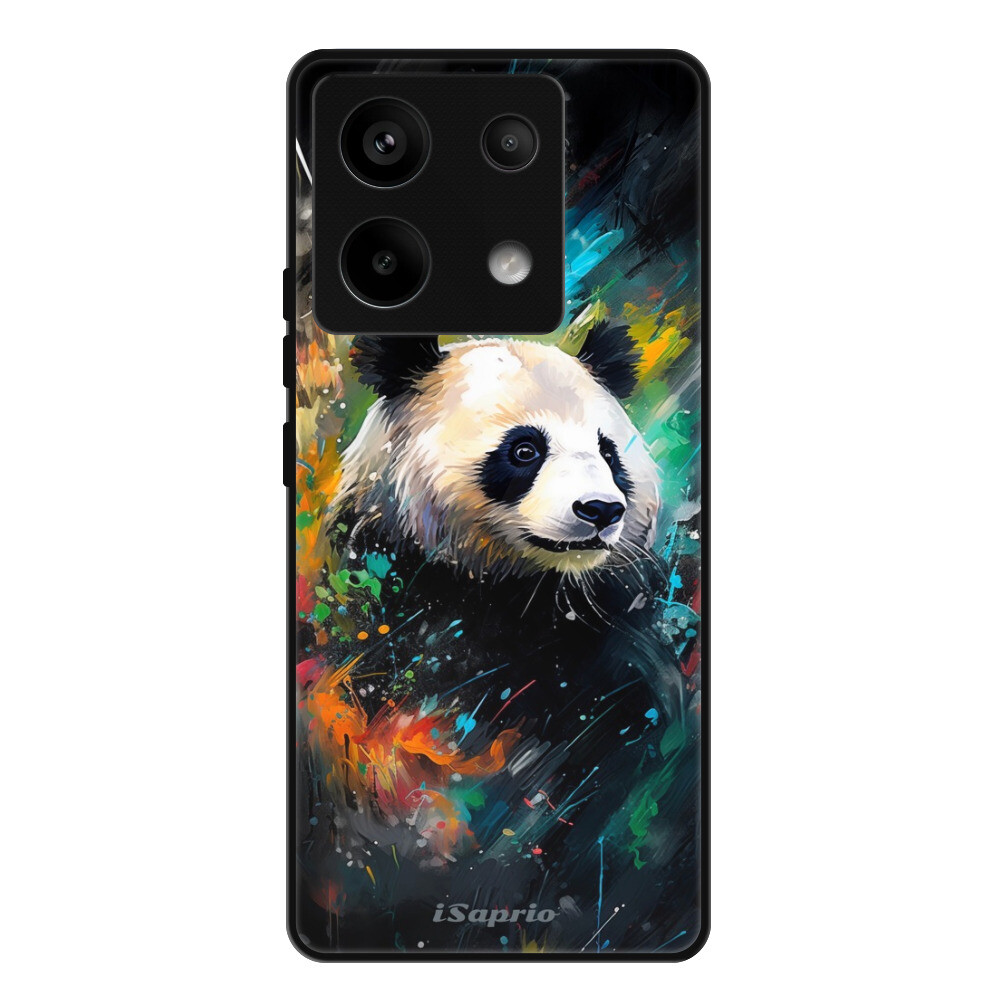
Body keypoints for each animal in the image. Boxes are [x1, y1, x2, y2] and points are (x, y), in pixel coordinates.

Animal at [295, 324, 701, 955]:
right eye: (525, 450)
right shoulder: (383, 609)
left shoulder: (612, 641)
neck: (518, 590)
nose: (601, 510)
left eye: (608, 452)